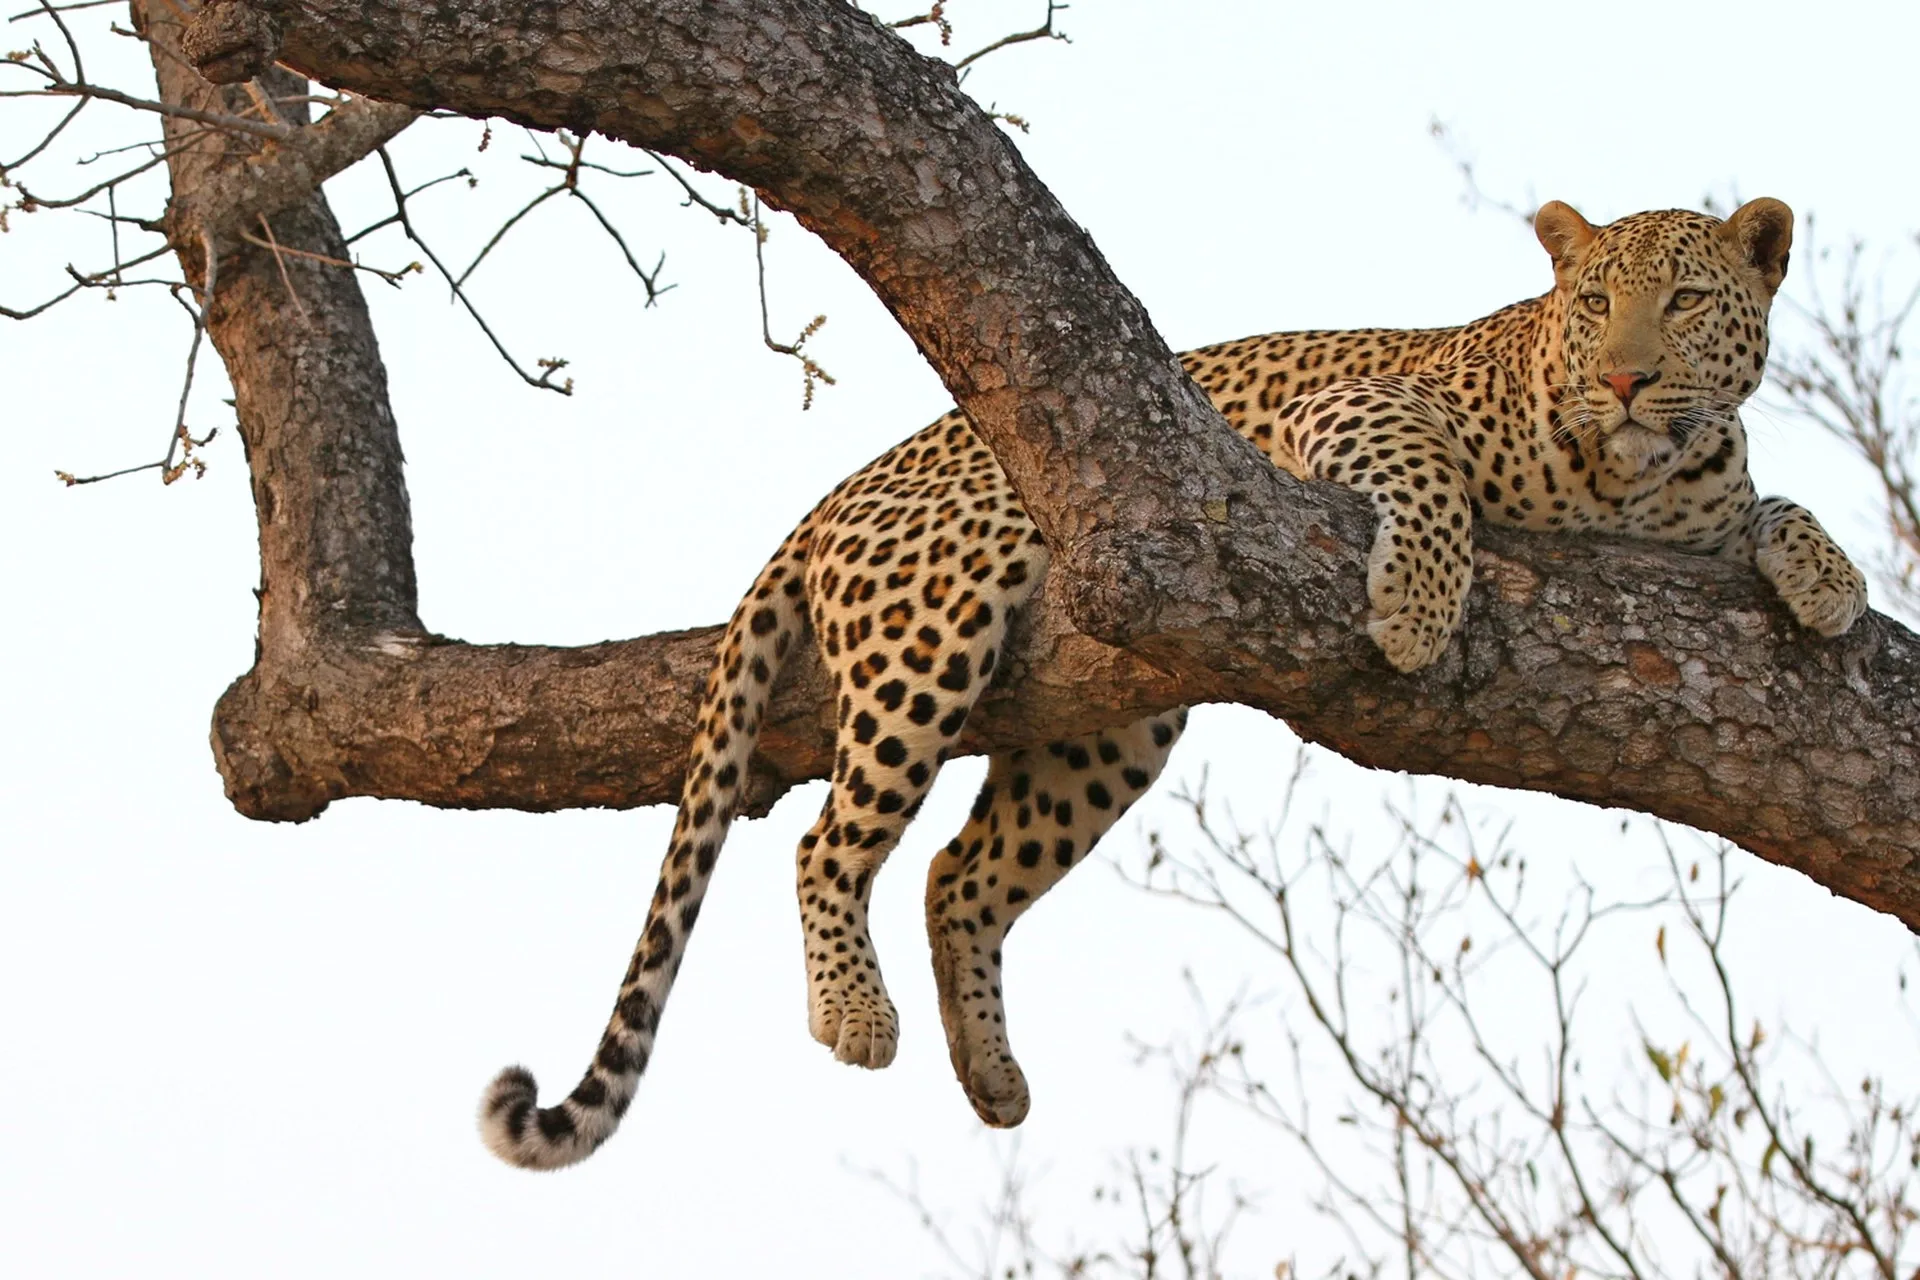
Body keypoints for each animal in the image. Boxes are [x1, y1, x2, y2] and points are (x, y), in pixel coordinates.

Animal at [478, 197, 1867, 1170]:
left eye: (1682, 300)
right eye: (1592, 306)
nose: (1625, 377)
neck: (1630, 482)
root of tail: (836, 491)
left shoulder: (1694, 526)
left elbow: (1773, 505)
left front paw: (1830, 574)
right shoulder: (1355, 408)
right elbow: (1428, 476)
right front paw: (1420, 605)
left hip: (1113, 726)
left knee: (958, 874)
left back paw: (991, 1072)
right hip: (940, 617)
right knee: (830, 842)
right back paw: (858, 1014)